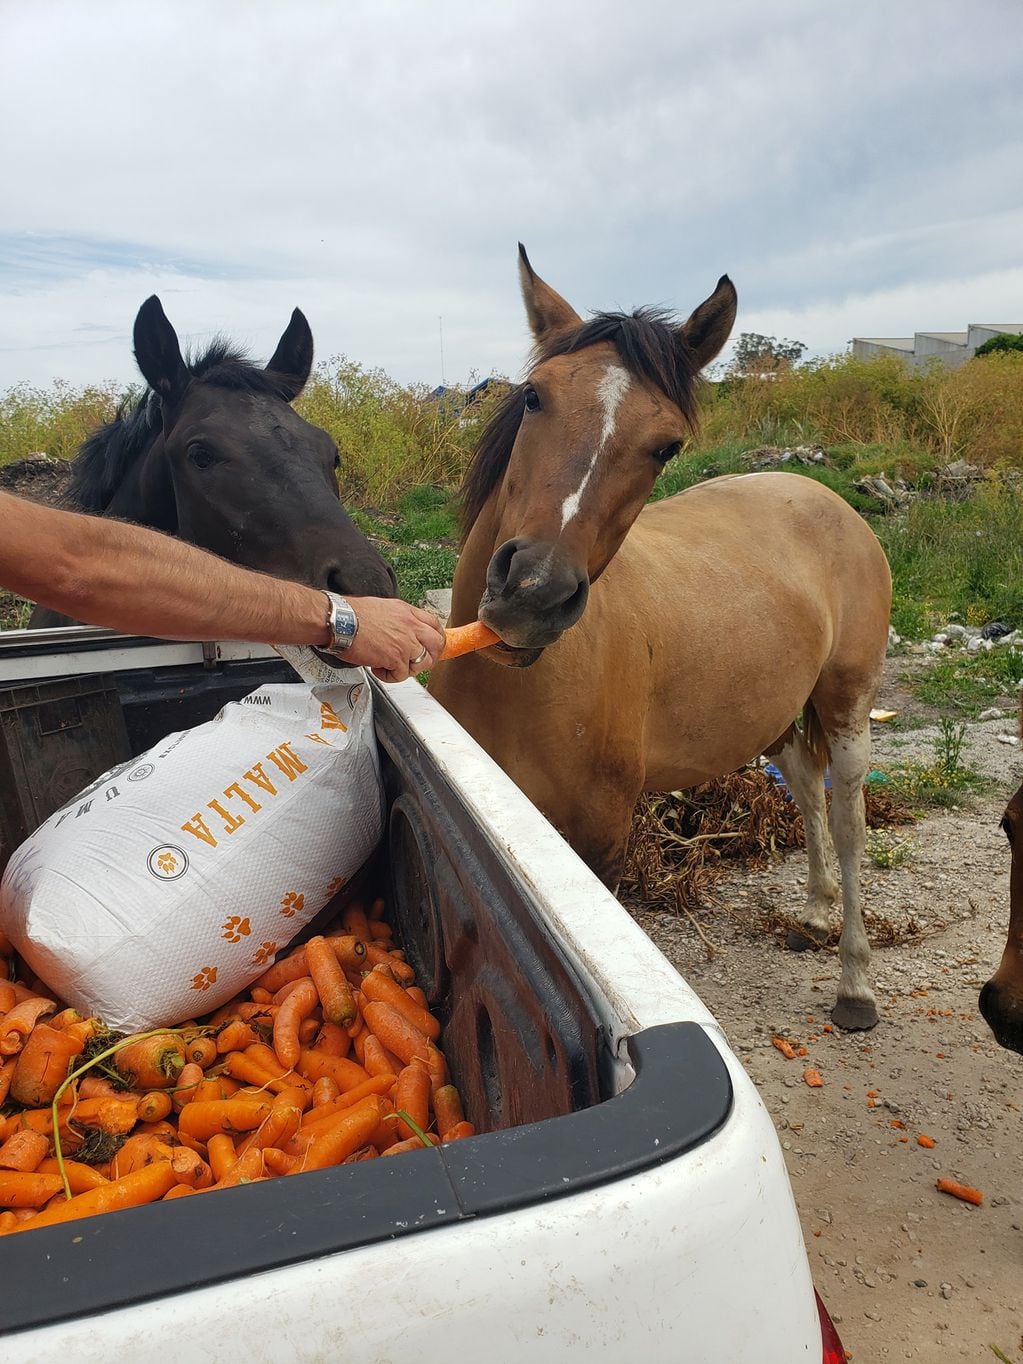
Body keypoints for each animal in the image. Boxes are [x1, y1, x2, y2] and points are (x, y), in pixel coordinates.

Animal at [433, 248, 894, 1031]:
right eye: (533, 398)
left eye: (666, 446)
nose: (534, 592)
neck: (513, 688)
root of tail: (826, 498)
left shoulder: (599, 840)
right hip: (773, 715)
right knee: (805, 787)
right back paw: (811, 912)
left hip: (846, 703)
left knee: (847, 817)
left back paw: (855, 981)